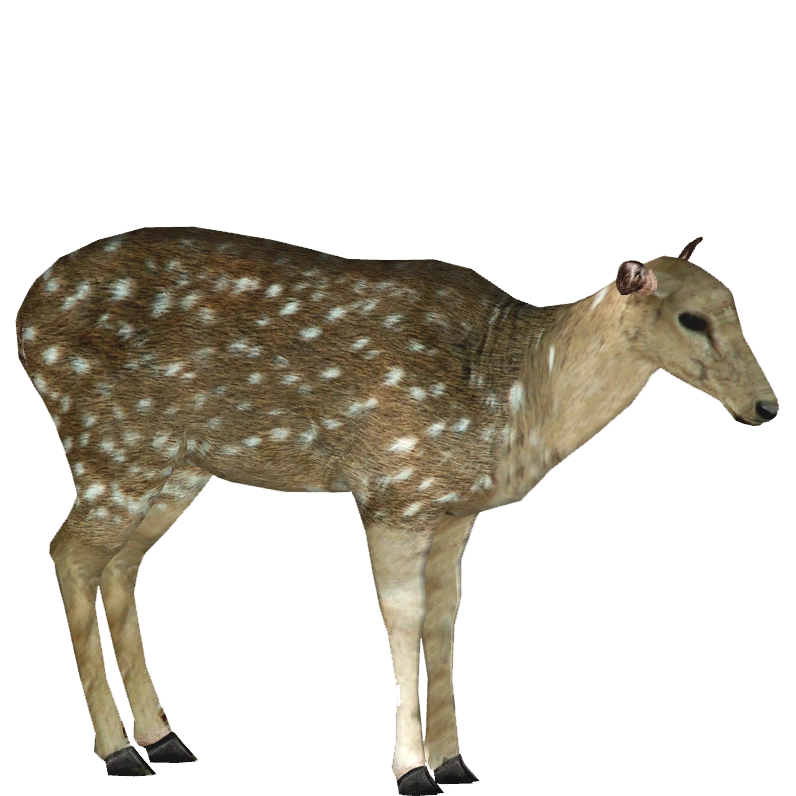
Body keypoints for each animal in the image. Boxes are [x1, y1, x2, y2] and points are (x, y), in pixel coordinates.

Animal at [15, 226, 778, 794]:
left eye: (735, 305)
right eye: (691, 317)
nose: (767, 404)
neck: (513, 396)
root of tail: (23, 314)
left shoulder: (454, 510)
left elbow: (444, 616)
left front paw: (457, 761)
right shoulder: (392, 488)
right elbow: (403, 617)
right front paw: (412, 771)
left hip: (175, 468)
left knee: (118, 565)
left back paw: (164, 738)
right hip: (113, 442)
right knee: (66, 549)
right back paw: (118, 751)